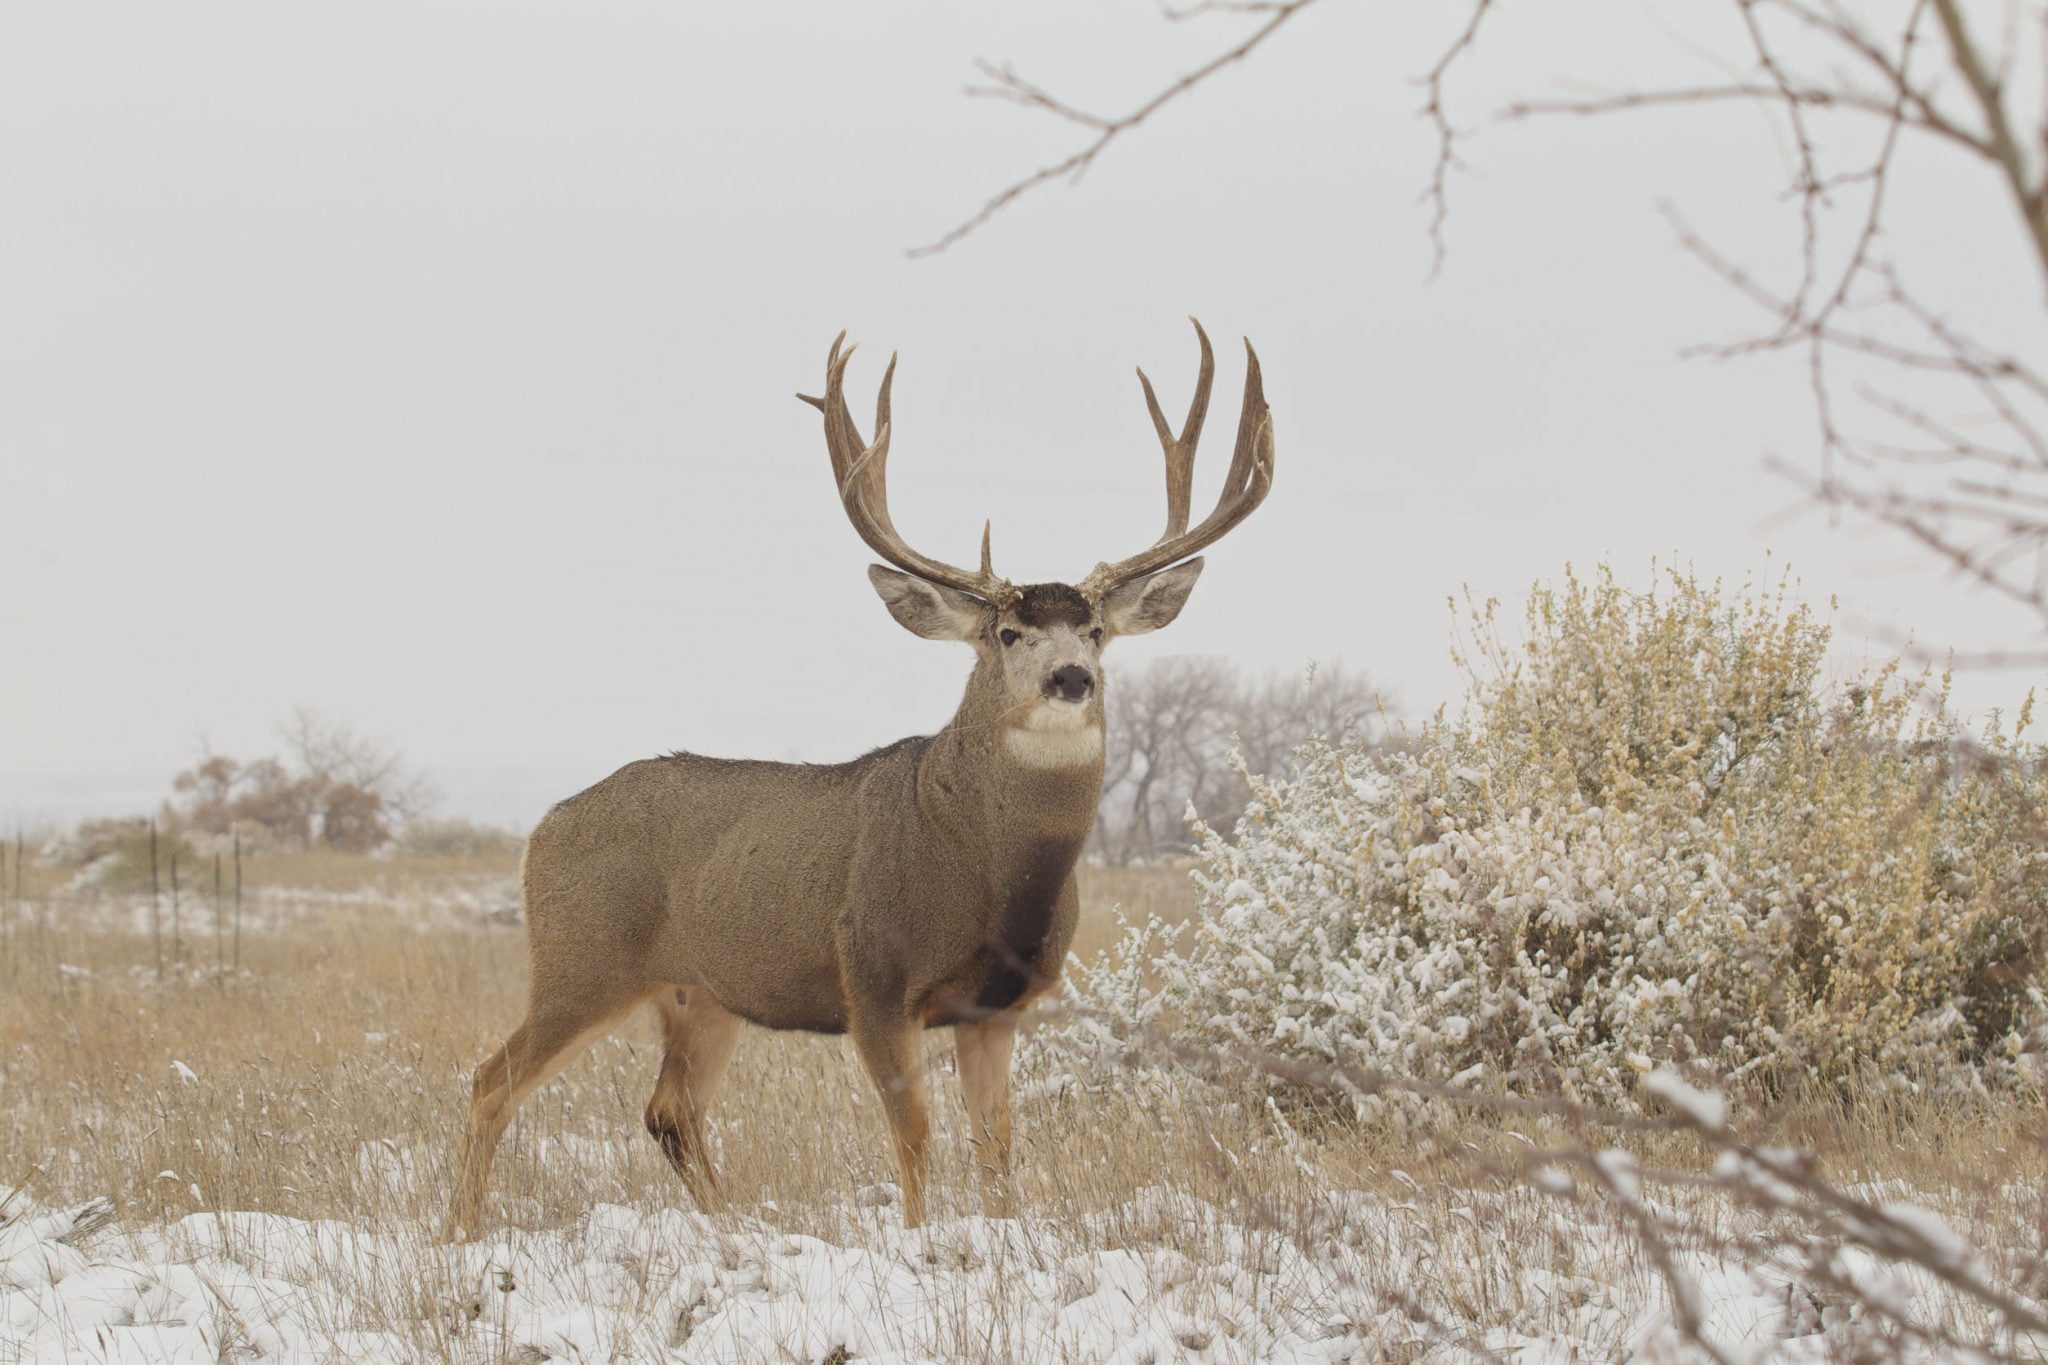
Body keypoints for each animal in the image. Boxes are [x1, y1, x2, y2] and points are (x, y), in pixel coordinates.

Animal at [452, 321, 1261, 1236]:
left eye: (1093, 629)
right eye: (1008, 633)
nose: (1071, 678)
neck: (987, 872)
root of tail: (539, 830)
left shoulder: (1001, 1006)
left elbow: (998, 1144)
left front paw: (1001, 1232)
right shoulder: (872, 972)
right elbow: (914, 1132)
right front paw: (918, 1239)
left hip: (701, 992)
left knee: (668, 1109)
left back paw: (731, 1227)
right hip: (582, 961)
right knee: (491, 1082)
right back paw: (459, 1230)